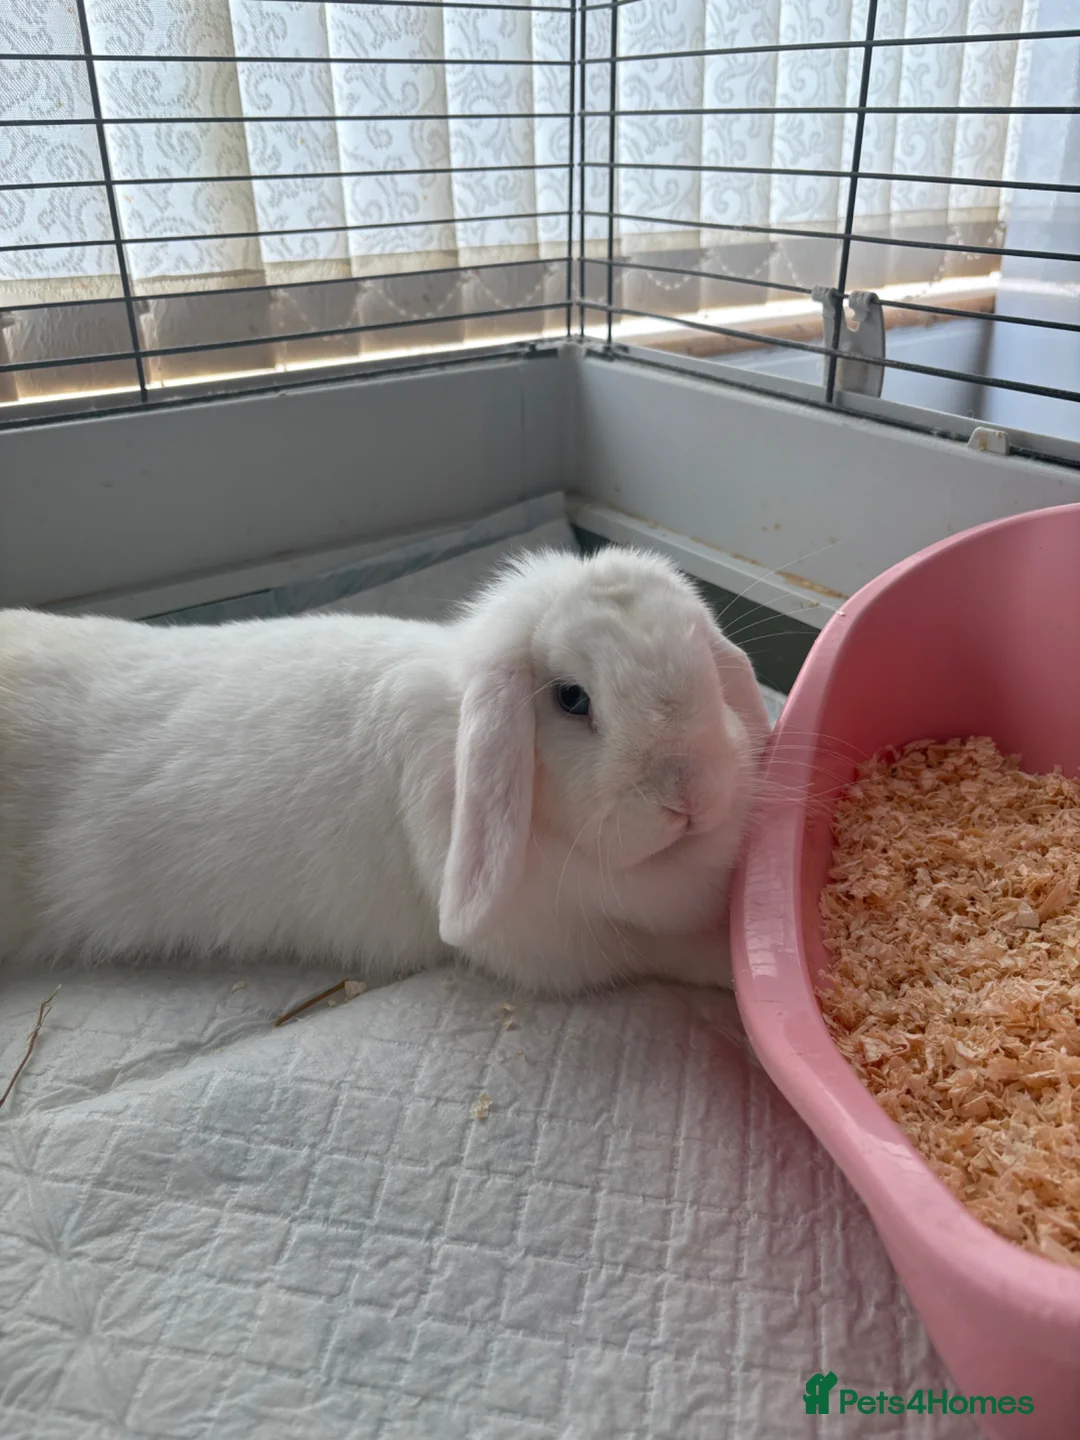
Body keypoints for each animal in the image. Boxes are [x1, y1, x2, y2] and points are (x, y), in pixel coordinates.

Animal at [0, 545, 769, 996]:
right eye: (572, 698)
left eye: (706, 668)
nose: (689, 794)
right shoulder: (572, 947)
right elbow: (669, 953)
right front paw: (731, 971)